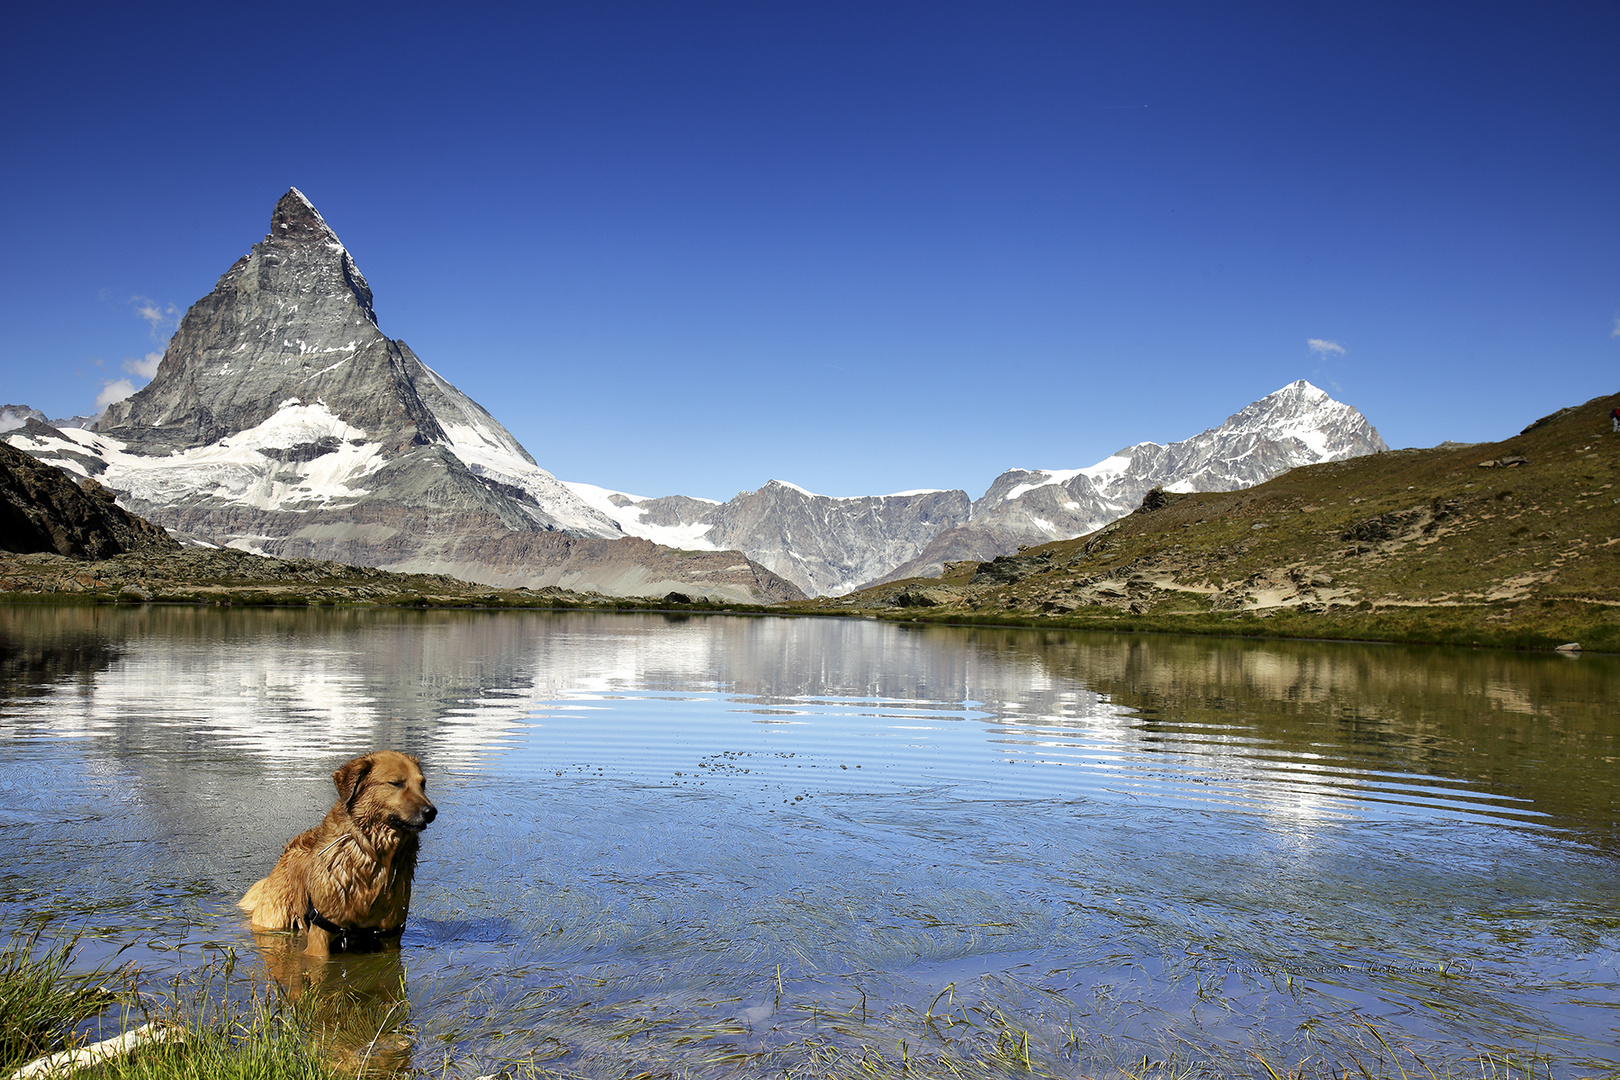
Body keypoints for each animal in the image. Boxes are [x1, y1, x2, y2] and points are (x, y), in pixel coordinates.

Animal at [234, 751, 437, 952]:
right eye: (396, 783)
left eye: (422, 784)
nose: (431, 812)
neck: (373, 857)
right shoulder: (321, 931)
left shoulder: (391, 934)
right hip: (274, 918)